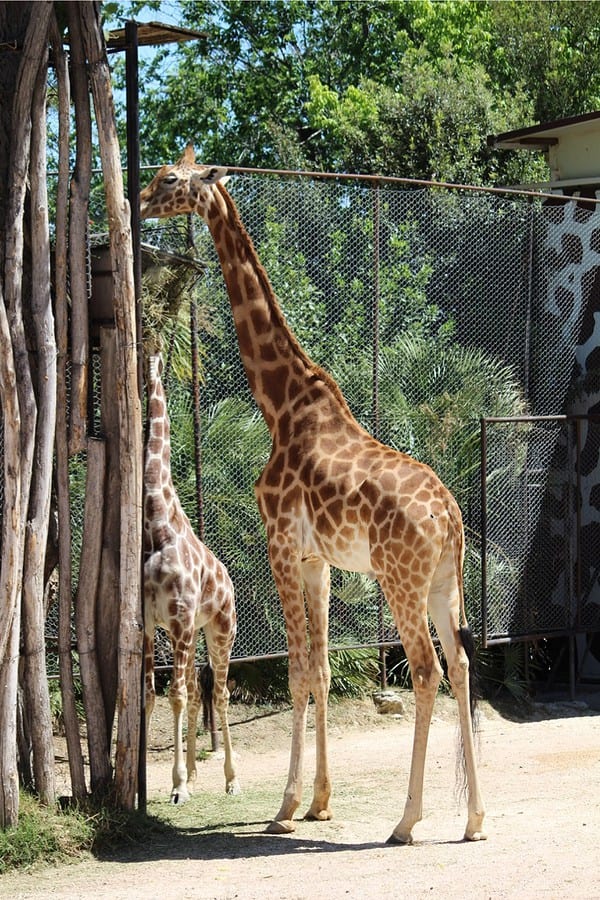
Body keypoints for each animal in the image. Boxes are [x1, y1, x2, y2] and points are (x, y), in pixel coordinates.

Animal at [140, 146, 486, 843]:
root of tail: (450, 514)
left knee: (427, 671)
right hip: (444, 579)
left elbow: (298, 670)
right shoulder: (317, 559)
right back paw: (474, 819)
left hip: (400, 578)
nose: (137, 200)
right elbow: (322, 669)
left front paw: (285, 806)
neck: (281, 405)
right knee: (461, 667)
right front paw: (321, 801)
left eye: (170, 179)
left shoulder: (279, 544)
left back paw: (407, 819)